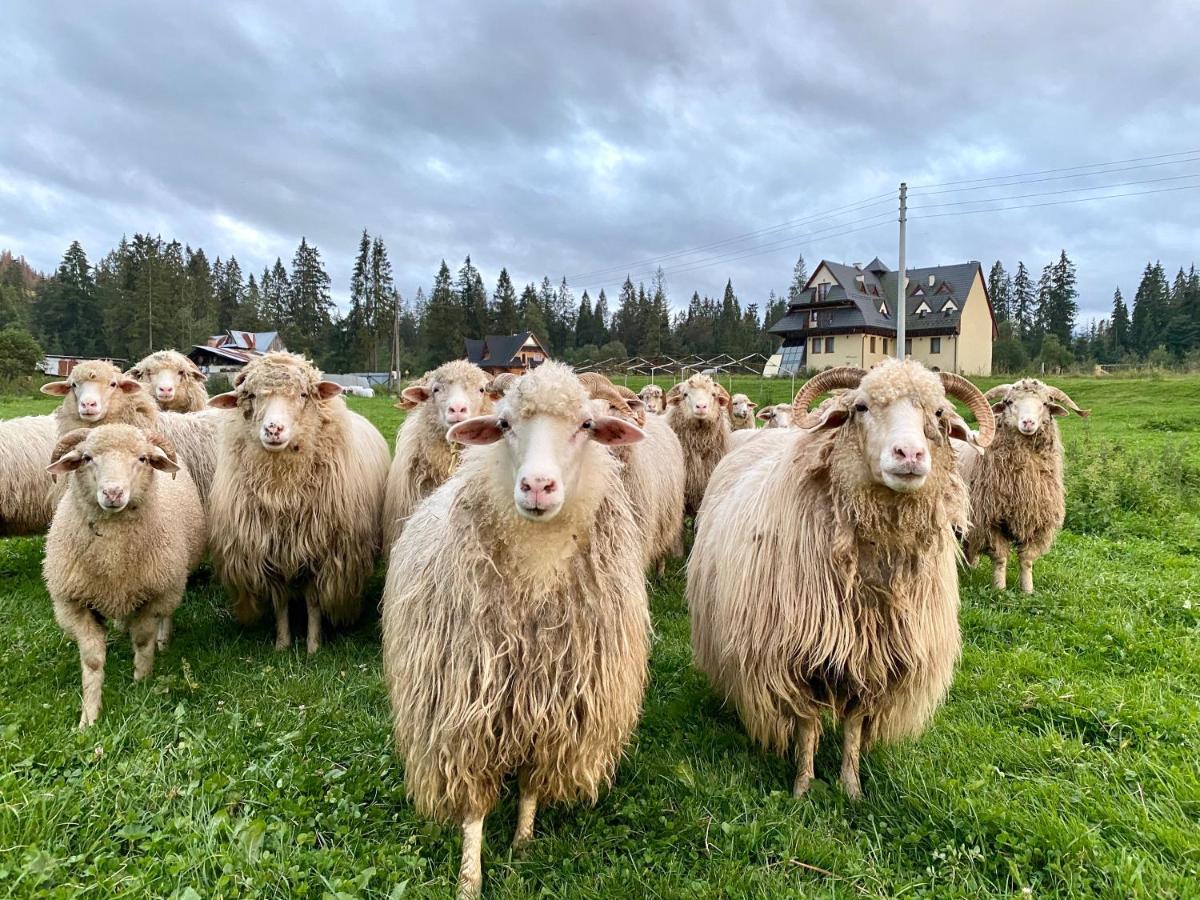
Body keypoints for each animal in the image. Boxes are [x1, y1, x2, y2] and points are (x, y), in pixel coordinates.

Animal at [42, 427, 206, 729]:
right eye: (86, 458)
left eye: (142, 458)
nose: (113, 492)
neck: (113, 554)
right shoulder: (74, 604)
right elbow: (92, 660)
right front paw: (88, 717)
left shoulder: (155, 594)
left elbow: (142, 639)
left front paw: (141, 681)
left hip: (173, 579)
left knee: (167, 614)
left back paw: (163, 641)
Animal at [381, 362, 648, 900]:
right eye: (504, 424)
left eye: (587, 425)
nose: (537, 486)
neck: (536, 569)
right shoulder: (464, 709)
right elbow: (472, 808)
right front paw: (470, 878)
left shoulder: (555, 709)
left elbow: (530, 785)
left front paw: (523, 845)